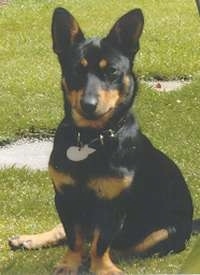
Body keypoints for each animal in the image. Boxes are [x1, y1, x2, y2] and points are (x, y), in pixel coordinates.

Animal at [9, 7, 194, 274]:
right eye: (77, 70)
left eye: (112, 71)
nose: (89, 104)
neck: (90, 139)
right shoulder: (65, 197)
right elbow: (73, 236)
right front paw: (69, 263)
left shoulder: (113, 205)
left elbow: (100, 242)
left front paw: (102, 268)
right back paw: (30, 239)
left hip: (164, 234)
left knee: (123, 247)